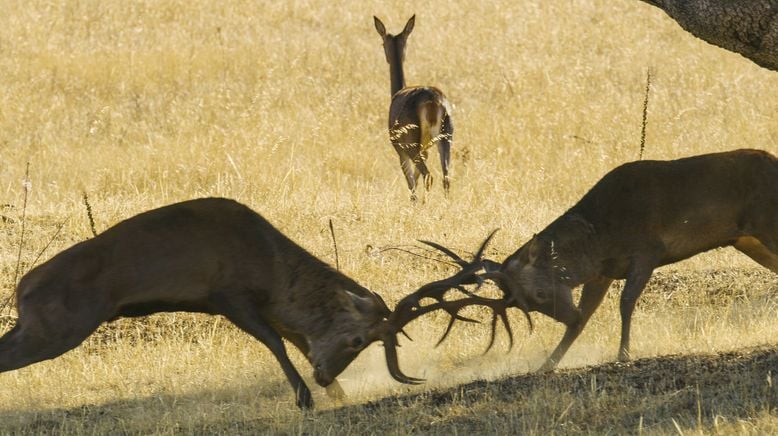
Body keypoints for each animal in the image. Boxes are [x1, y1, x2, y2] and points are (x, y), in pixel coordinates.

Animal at [0, 198, 506, 408]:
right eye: (359, 340)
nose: (327, 376)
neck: (269, 268)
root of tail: (22, 289)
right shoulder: (228, 295)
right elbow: (277, 344)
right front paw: (304, 398)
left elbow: (294, 339)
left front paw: (335, 395)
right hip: (58, 326)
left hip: (40, 326)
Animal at [372, 14, 452, 200]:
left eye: (382, 43)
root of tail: (432, 101)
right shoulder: (426, 150)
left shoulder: (400, 151)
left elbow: (411, 183)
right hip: (445, 137)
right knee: (445, 177)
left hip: (411, 144)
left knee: (428, 176)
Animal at [424, 150, 776, 372]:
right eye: (527, 307)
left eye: (538, 294)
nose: (568, 316)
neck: (600, 239)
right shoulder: (602, 273)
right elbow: (589, 315)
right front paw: (547, 364)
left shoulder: (647, 249)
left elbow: (626, 302)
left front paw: (623, 353)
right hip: (748, 240)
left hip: (766, 223)